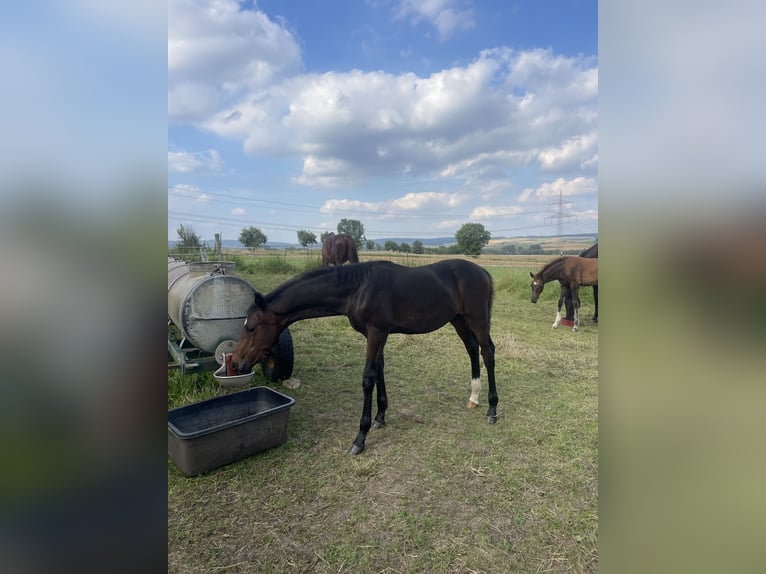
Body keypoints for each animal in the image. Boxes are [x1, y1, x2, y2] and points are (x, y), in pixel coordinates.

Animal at [231, 258, 500, 456]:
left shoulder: (377, 333)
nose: (236, 362)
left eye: (251, 327)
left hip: (477, 319)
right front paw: (380, 417)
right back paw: (474, 398)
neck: (359, 289)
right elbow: (379, 370)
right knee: (472, 349)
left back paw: (492, 410)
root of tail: (483, 272)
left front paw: (360, 438)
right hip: (459, 320)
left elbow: (368, 378)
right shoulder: (375, 335)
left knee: (487, 352)